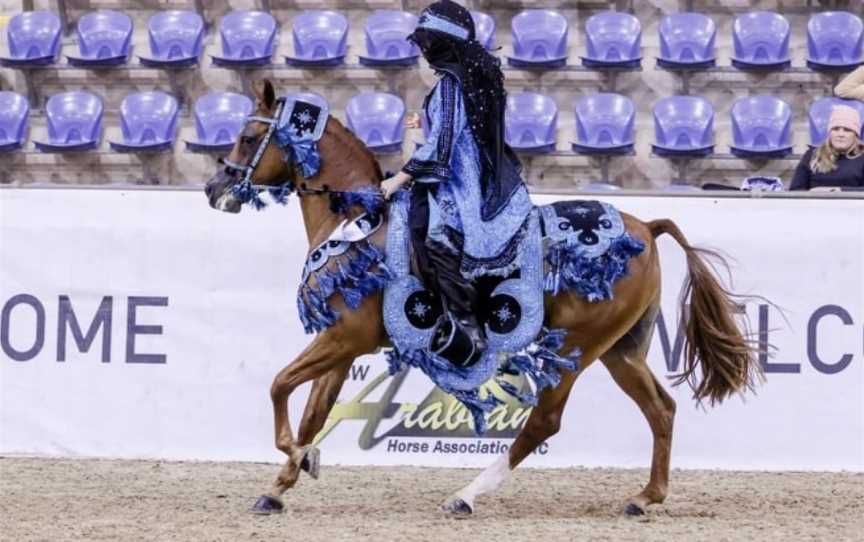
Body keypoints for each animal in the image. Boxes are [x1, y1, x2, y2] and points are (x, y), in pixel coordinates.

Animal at [206, 81, 760, 520]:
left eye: (249, 137)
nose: (215, 187)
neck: (361, 222)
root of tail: (646, 224)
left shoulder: (344, 338)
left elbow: (279, 387)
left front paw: (300, 459)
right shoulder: (341, 346)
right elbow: (312, 414)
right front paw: (281, 485)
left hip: (575, 350)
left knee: (545, 422)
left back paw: (466, 495)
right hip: (621, 350)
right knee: (661, 409)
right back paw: (645, 497)